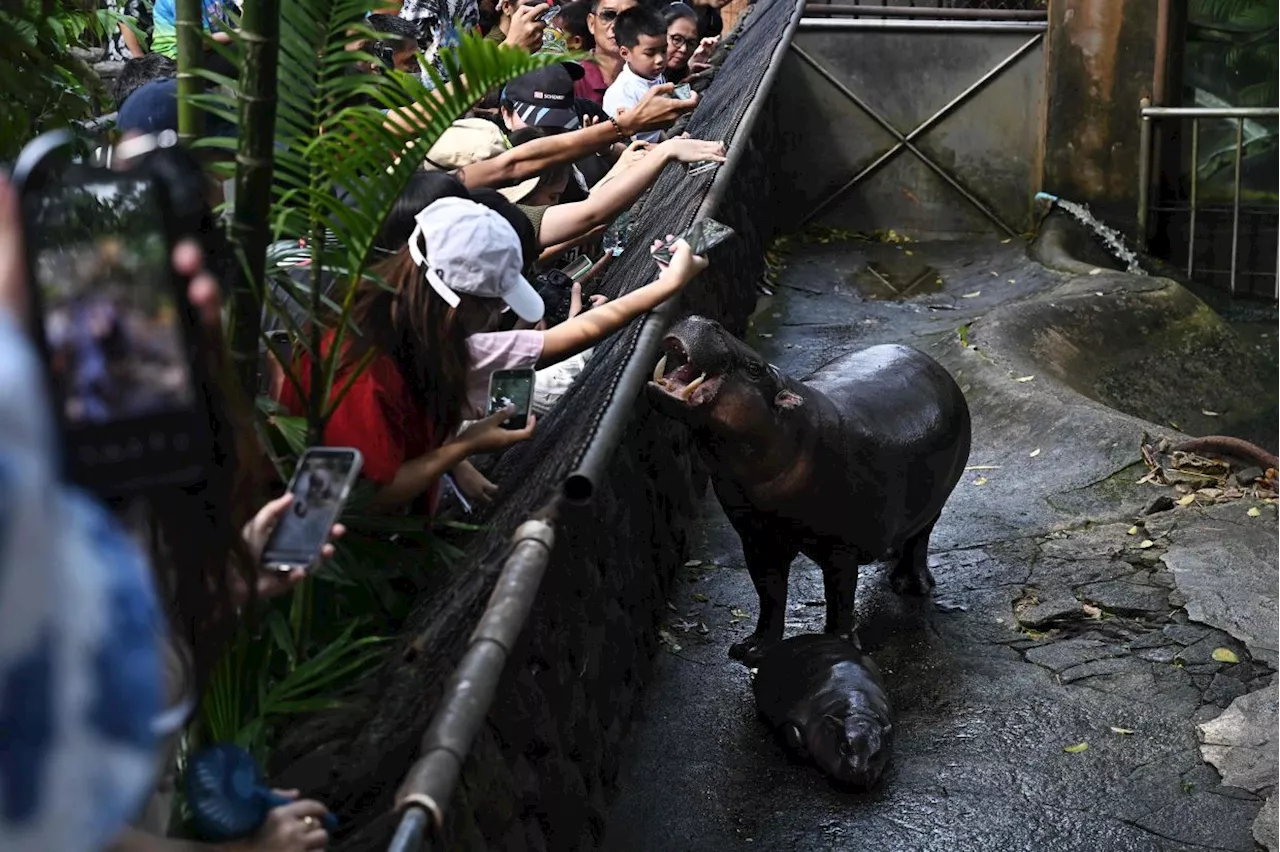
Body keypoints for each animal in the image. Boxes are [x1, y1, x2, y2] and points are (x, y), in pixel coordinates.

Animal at [645, 313, 962, 665]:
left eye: (755, 368)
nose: (702, 318)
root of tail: (933, 362)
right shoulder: (757, 539)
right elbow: (769, 595)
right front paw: (751, 649)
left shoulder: (840, 547)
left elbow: (839, 597)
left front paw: (840, 645)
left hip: (937, 499)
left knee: (921, 538)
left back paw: (911, 585)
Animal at [747, 634, 890, 788]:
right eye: (844, 746)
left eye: (877, 754)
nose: (859, 771)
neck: (857, 712)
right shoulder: (797, 717)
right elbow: (794, 736)